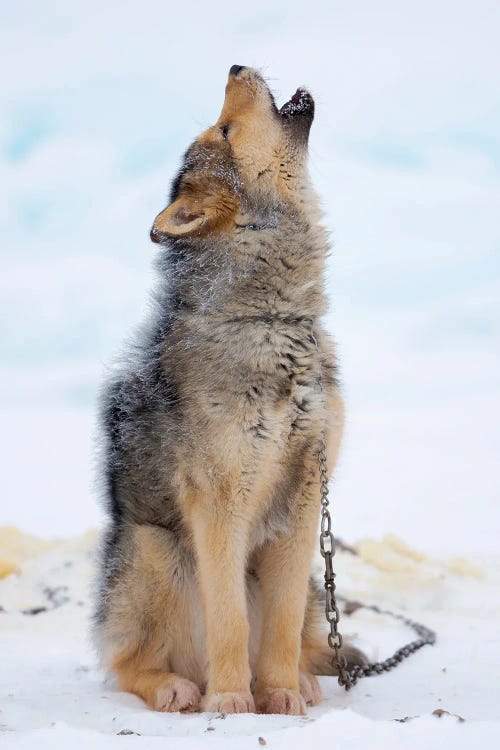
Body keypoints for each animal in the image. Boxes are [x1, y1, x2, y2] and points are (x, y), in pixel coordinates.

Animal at [94, 64, 364, 716]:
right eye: (223, 128)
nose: (236, 67)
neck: (275, 322)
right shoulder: (219, 501)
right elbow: (231, 622)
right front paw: (234, 702)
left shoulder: (305, 497)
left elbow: (280, 624)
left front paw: (282, 693)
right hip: (156, 551)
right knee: (126, 663)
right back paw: (177, 687)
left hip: (311, 579)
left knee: (303, 630)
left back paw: (306, 681)